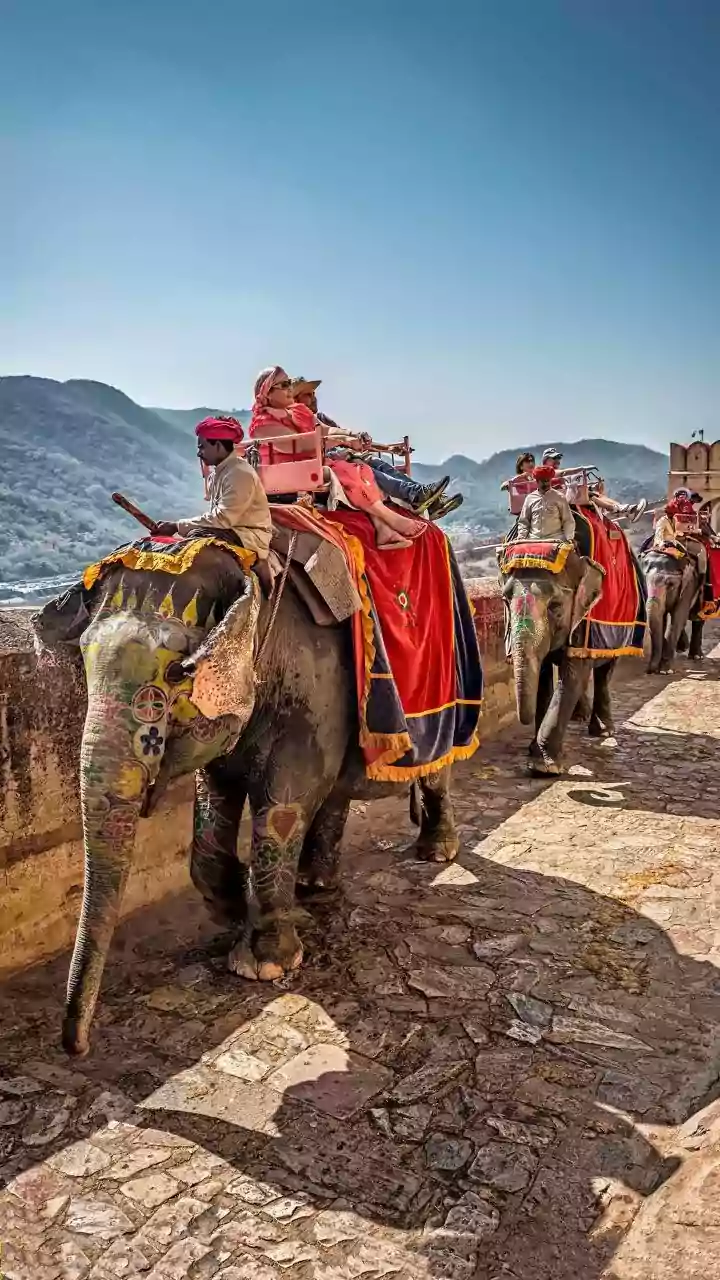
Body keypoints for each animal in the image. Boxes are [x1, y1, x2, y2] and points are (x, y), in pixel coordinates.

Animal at [40, 540, 461, 1058]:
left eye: (178, 672)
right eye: (82, 659)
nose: (76, 1046)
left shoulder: (312, 695)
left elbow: (283, 804)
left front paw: (264, 963)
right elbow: (214, 799)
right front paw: (231, 907)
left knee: (434, 774)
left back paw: (435, 852)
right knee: (335, 795)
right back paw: (315, 884)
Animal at [638, 538, 705, 673]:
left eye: (670, 585)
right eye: (646, 581)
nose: (649, 671)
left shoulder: (689, 584)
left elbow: (678, 616)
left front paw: (664, 670)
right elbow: (662, 618)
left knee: (698, 615)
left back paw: (696, 656)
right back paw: (682, 647)